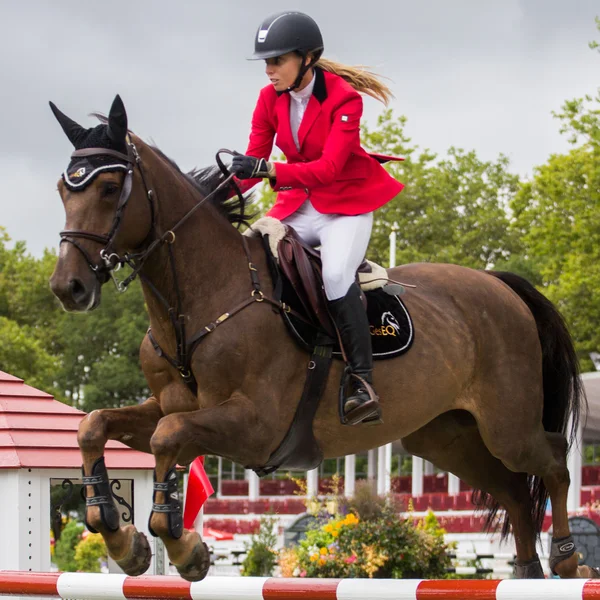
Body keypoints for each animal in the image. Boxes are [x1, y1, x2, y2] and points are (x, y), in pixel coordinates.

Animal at [49, 95, 592, 580]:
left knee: (552, 462)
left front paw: (185, 549)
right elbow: (95, 425)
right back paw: (527, 571)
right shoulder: (169, 405)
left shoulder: (255, 425)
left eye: (110, 187)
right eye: (63, 189)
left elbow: (168, 436)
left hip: (506, 426)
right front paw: (122, 538)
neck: (200, 301)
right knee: (514, 491)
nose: (67, 287)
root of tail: (502, 286)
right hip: (445, 436)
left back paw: (566, 558)